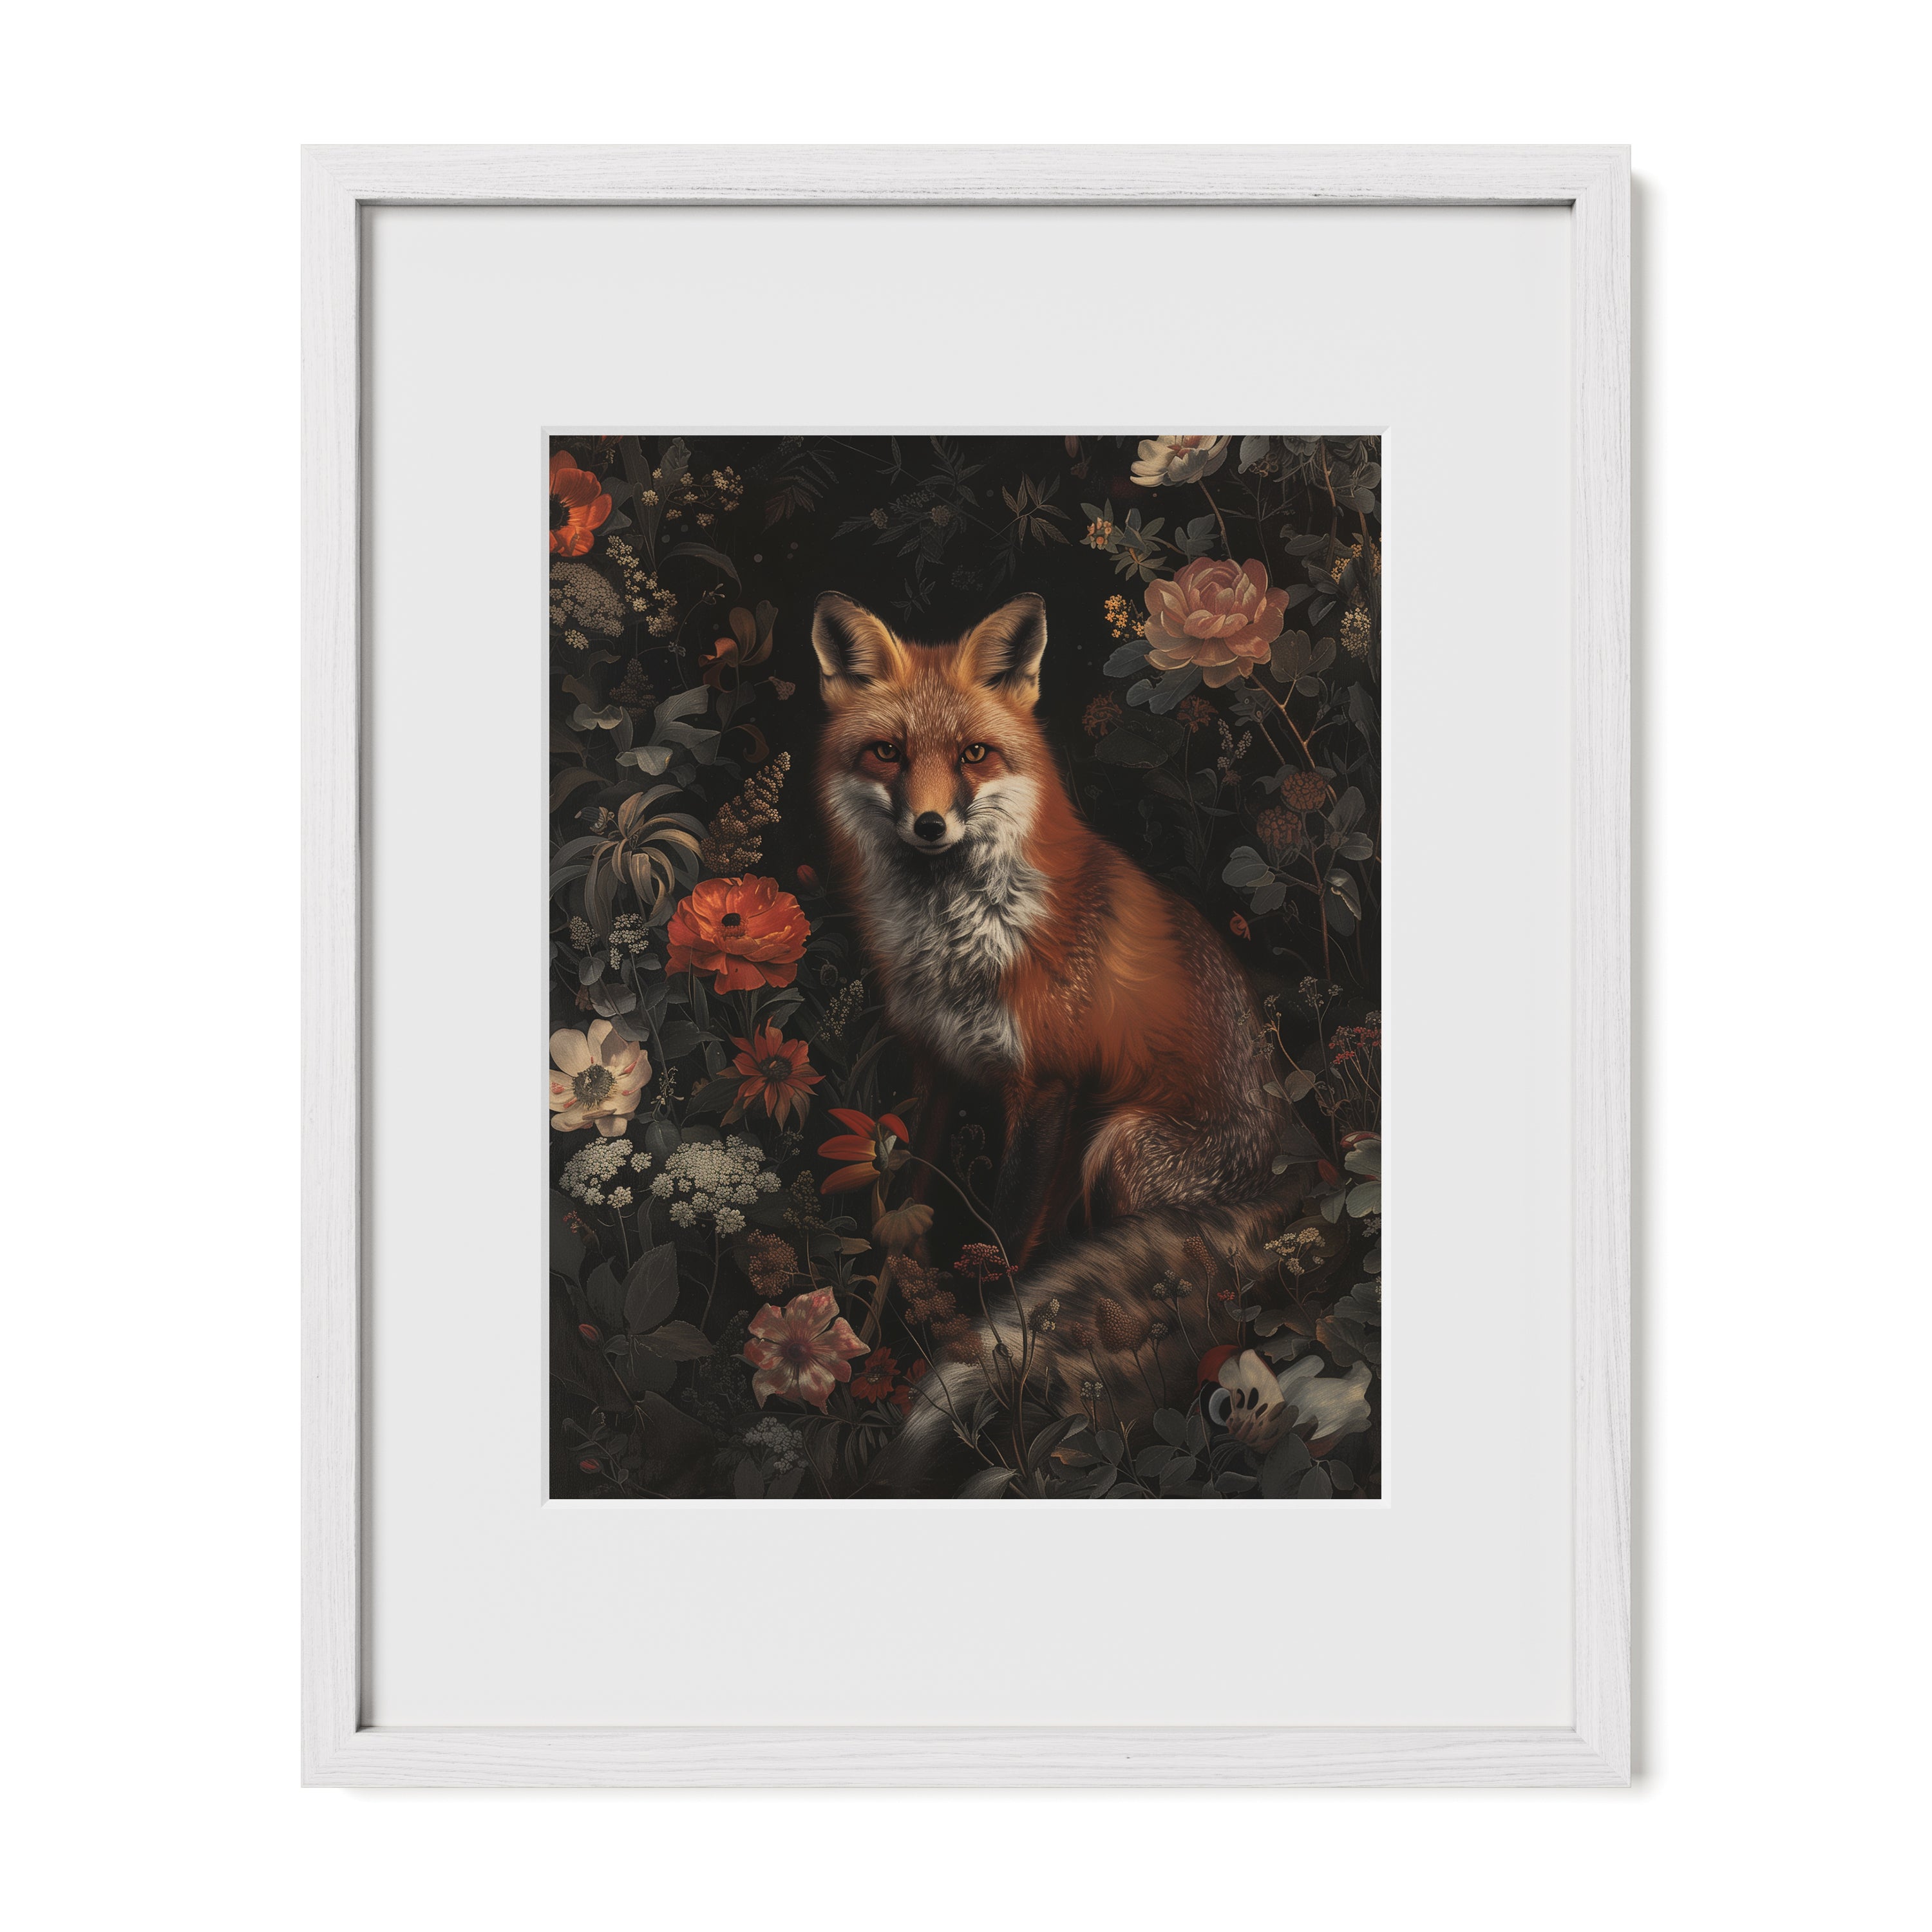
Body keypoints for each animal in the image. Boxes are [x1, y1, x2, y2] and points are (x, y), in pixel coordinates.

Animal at [809, 590, 1320, 1494]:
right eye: (887, 752)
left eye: (975, 755)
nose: (931, 824)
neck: (960, 941)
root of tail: (1293, 1169)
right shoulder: (935, 1070)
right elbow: (903, 1223)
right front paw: (867, 1344)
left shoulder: (1047, 1086)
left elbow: (1008, 1246)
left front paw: (976, 1354)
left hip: (1120, 1143)